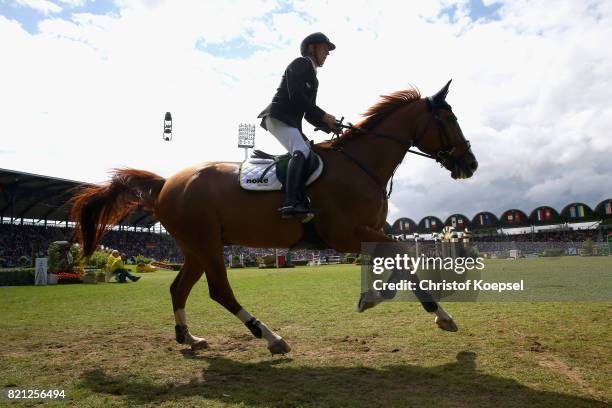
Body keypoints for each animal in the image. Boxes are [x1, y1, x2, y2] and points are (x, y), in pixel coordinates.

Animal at [70, 79, 478, 354]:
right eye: (450, 119)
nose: (470, 163)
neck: (362, 165)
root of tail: (167, 182)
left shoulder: (370, 232)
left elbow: (401, 258)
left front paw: (389, 299)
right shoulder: (347, 233)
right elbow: (405, 254)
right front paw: (424, 310)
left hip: (196, 248)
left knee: (178, 288)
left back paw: (189, 337)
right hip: (207, 245)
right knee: (219, 291)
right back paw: (270, 337)